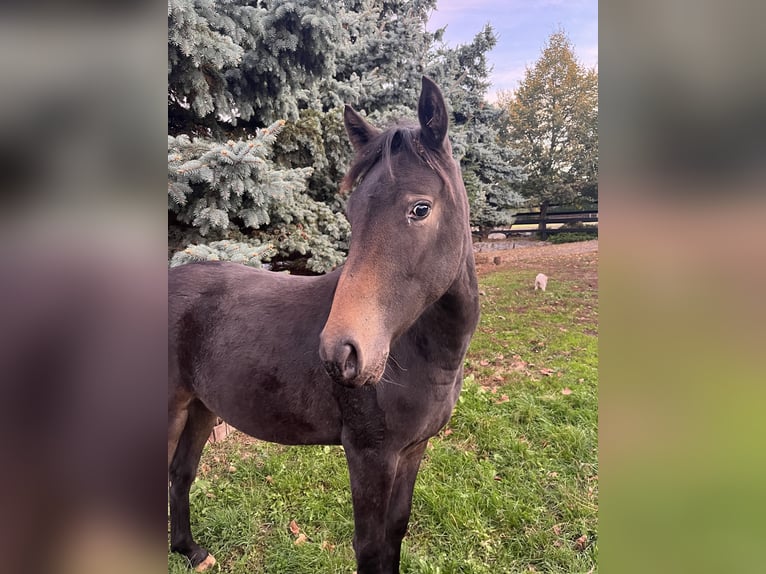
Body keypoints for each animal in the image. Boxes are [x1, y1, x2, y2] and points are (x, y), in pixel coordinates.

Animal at [168, 77, 480, 574]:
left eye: (420, 209)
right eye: (351, 214)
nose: (341, 353)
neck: (423, 353)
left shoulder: (412, 451)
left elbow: (395, 535)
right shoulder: (370, 455)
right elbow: (371, 547)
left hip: (200, 407)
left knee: (181, 474)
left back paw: (191, 551)